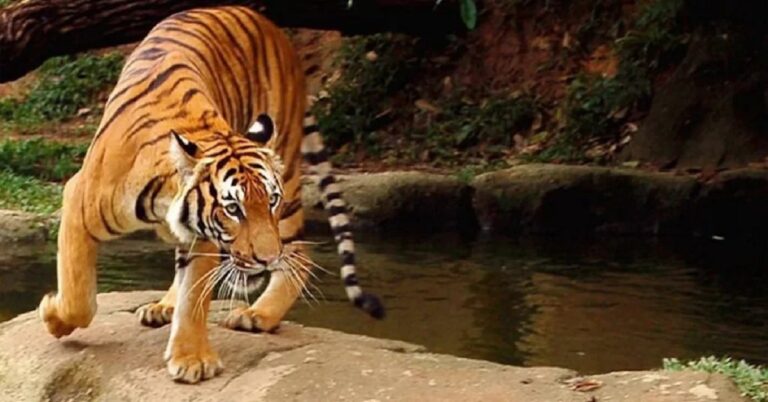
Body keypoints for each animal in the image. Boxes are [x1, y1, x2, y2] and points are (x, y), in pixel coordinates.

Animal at [37, 5, 384, 383]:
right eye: (233, 209)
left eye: (270, 200)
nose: (266, 259)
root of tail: (271, 27)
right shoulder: (78, 200)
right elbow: (78, 293)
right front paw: (54, 316)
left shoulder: (203, 236)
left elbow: (195, 297)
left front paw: (192, 360)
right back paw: (164, 306)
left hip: (288, 171)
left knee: (299, 253)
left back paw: (258, 314)